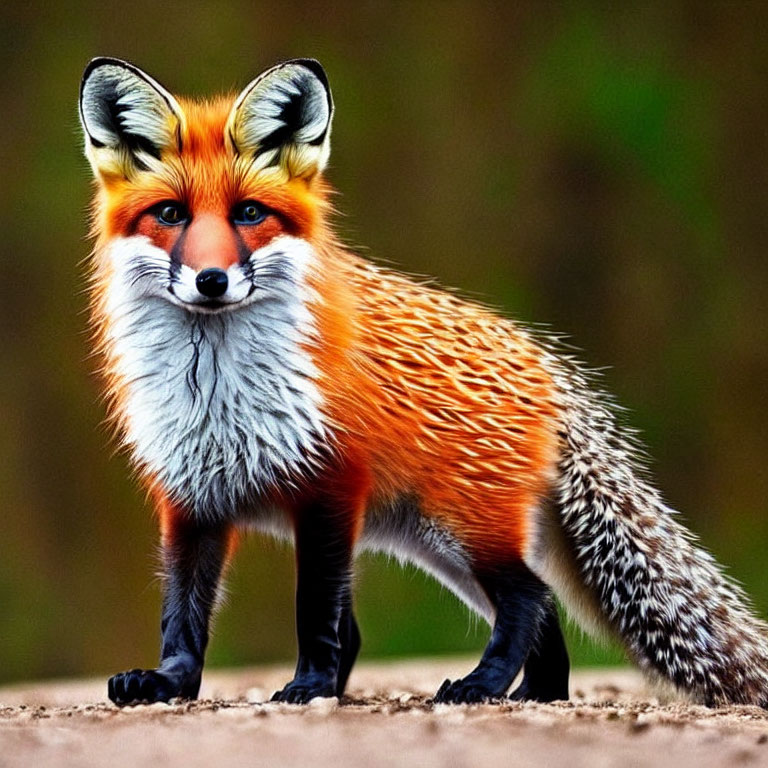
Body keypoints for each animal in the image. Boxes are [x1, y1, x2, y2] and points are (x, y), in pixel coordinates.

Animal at [79, 55, 768, 708]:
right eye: (171, 215)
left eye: (250, 214)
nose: (212, 280)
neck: (217, 396)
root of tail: (548, 367)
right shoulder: (189, 499)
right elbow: (184, 617)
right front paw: (171, 681)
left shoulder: (332, 489)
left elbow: (319, 616)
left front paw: (313, 686)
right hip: (438, 543)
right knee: (544, 610)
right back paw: (538, 694)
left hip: (465, 530)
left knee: (530, 597)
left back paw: (484, 685)